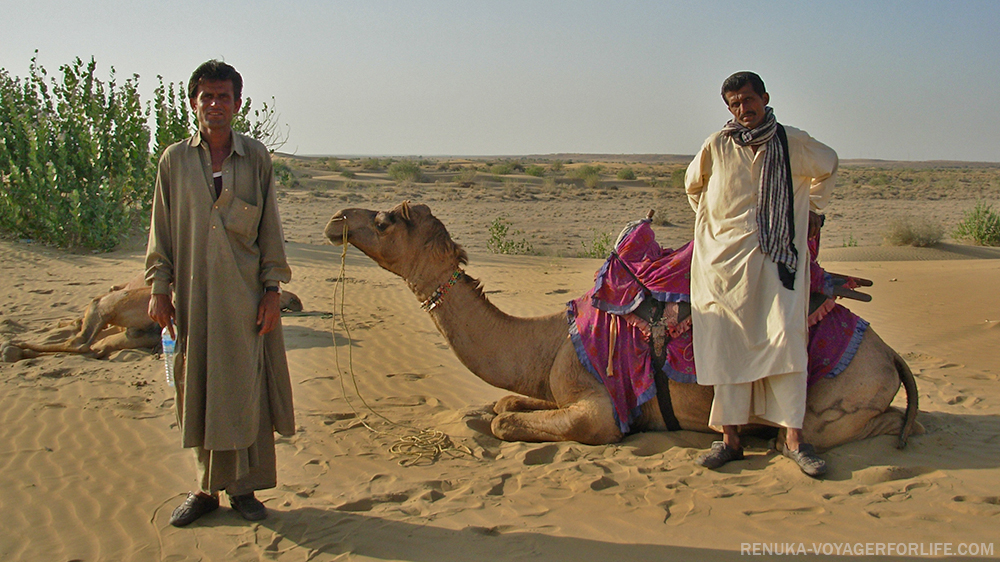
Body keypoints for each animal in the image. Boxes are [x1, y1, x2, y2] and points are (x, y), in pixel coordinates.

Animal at [328, 199, 920, 448]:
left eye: (384, 220)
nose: (338, 219)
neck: (547, 341)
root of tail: (889, 353)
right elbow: (504, 405)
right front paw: (485, 412)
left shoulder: (601, 412)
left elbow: (506, 422)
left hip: (841, 395)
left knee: (882, 423)